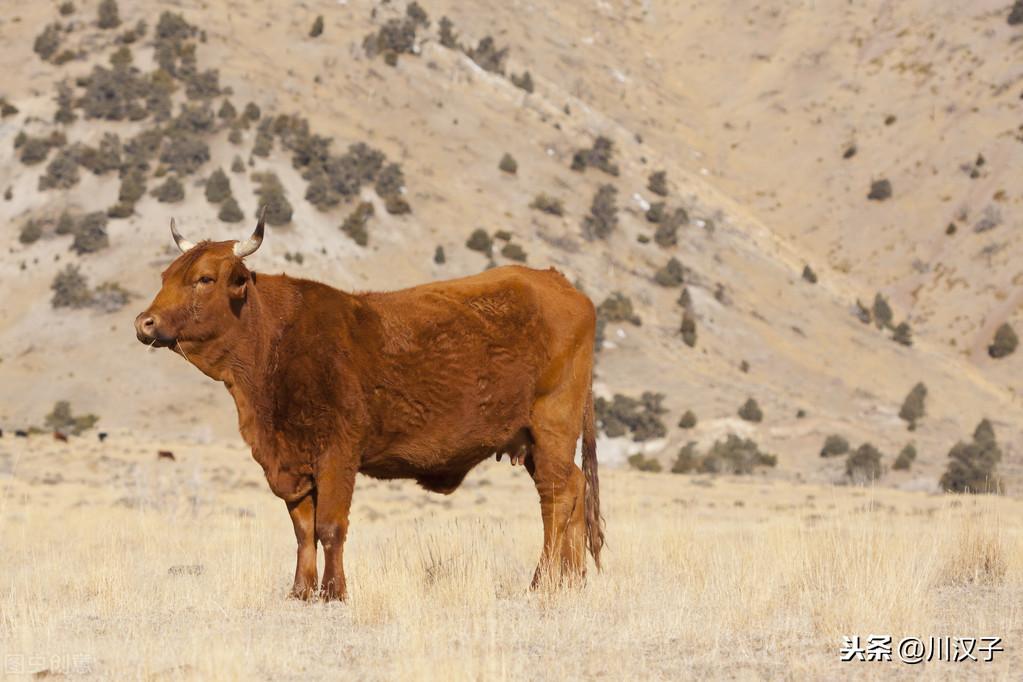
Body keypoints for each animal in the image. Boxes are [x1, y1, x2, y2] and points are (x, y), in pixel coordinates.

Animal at [131, 213, 601, 601]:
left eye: (204, 278)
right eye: (166, 275)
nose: (144, 322)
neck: (275, 344)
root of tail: (559, 283)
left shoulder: (338, 455)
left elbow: (330, 526)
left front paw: (334, 592)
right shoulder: (291, 461)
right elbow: (302, 530)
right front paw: (300, 591)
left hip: (552, 426)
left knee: (557, 497)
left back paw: (541, 582)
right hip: (533, 442)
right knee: (575, 488)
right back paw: (572, 582)